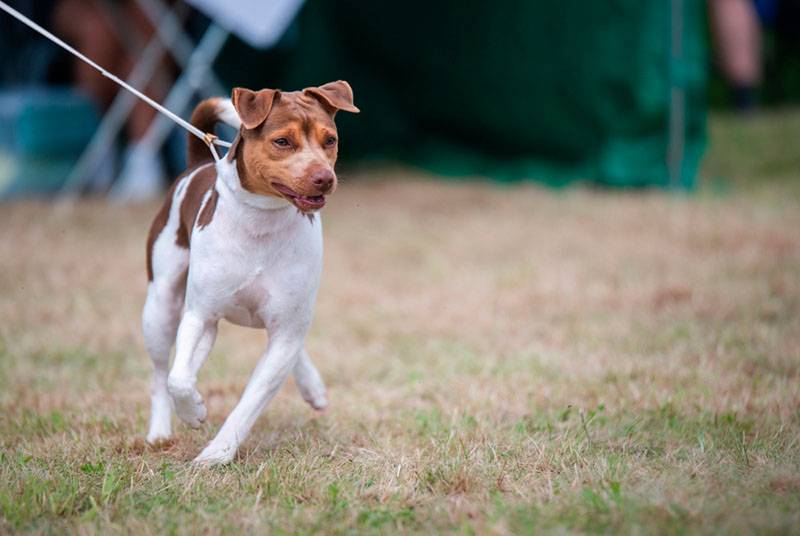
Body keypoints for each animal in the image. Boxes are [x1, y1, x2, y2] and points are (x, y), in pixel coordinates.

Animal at [141, 80, 360, 464]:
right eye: (282, 141)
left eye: (330, 139)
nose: (324, 177)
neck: (263, 218)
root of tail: (199, 162)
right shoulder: (201, 315)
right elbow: (178, 379)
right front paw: (193, 411)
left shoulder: (286, 328)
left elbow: (251, 401)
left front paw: (217, 453)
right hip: (160, 306)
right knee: (161, 372)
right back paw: (160, 431)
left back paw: (312, 387)